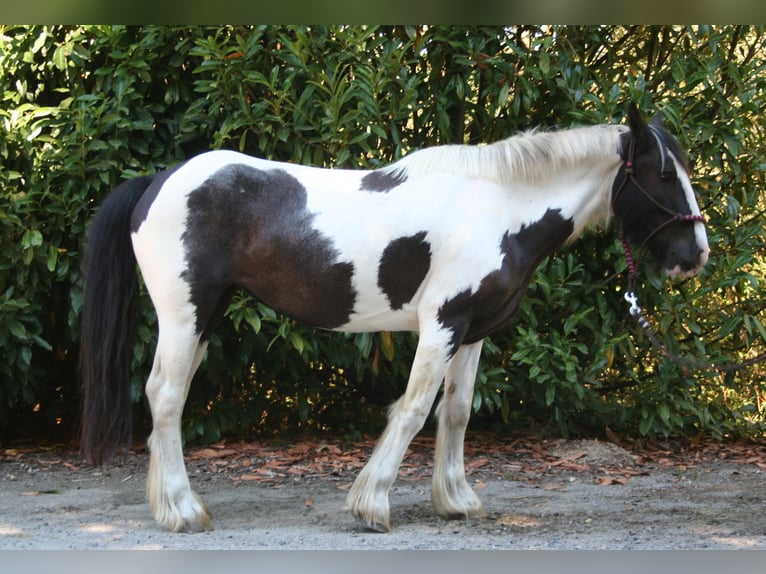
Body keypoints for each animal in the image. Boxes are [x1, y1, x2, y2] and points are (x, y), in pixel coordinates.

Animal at [81, 103, 712, 536]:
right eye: (662, 174)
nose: (696, 254)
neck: (499, 209)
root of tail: (158, 182)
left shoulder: (472, 333)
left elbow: (457, 413)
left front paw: (457, 500)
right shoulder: (442, 324)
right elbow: (411, 409)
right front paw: (372, 504)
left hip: (204, 319)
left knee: (168, 395)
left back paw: (170, 505)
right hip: (184, 316)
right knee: (165, 396)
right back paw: (183, 511)